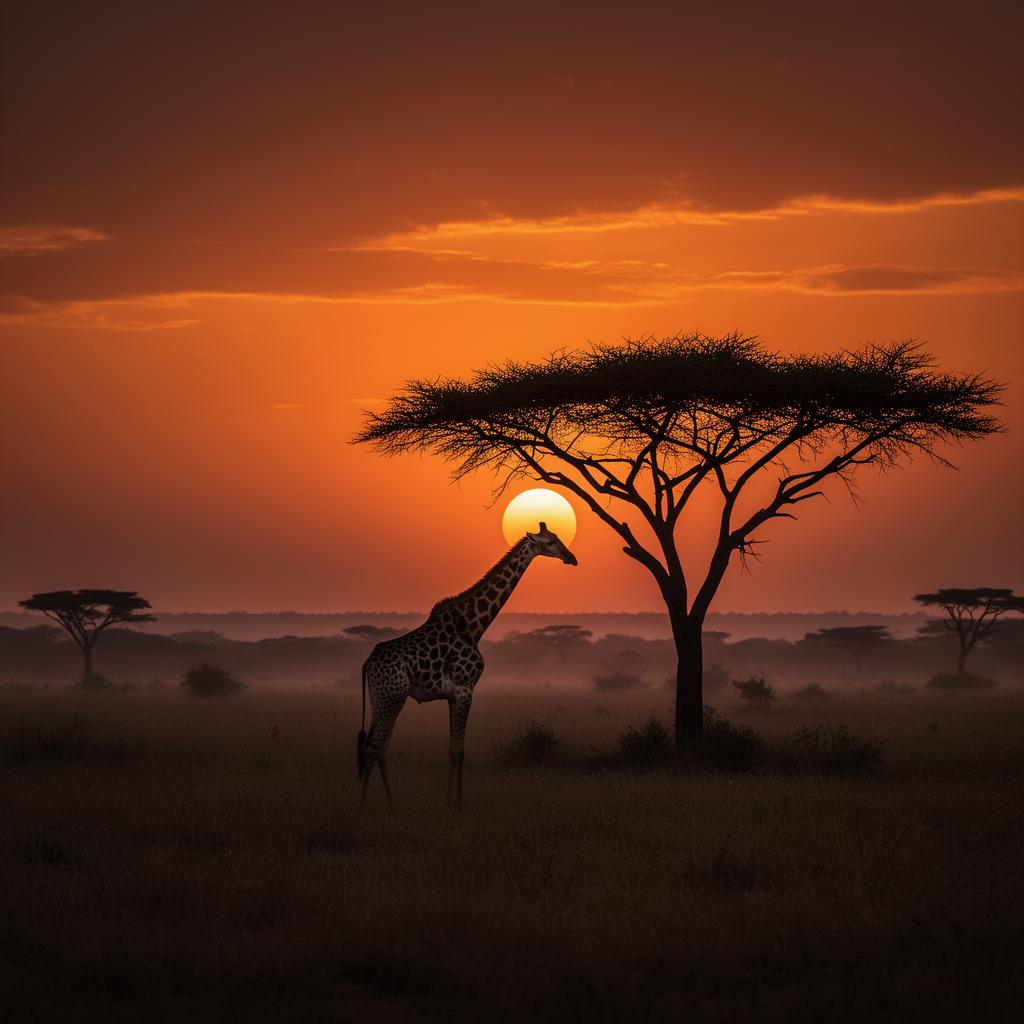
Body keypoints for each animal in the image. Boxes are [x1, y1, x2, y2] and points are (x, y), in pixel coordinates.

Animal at [357, 522, 577, 808]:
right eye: (550, 542)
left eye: (559, 537)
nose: (571, 558)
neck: (474, 626)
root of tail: (367, 665)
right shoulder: (465, 688)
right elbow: (459, 751)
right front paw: (458, 805)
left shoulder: (453, 695)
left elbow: (453, 749)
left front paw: (450, 801)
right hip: (391, 696)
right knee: (373, 747)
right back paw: (365, 806)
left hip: (382, 698)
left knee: (377, 747)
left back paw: (391, 805)